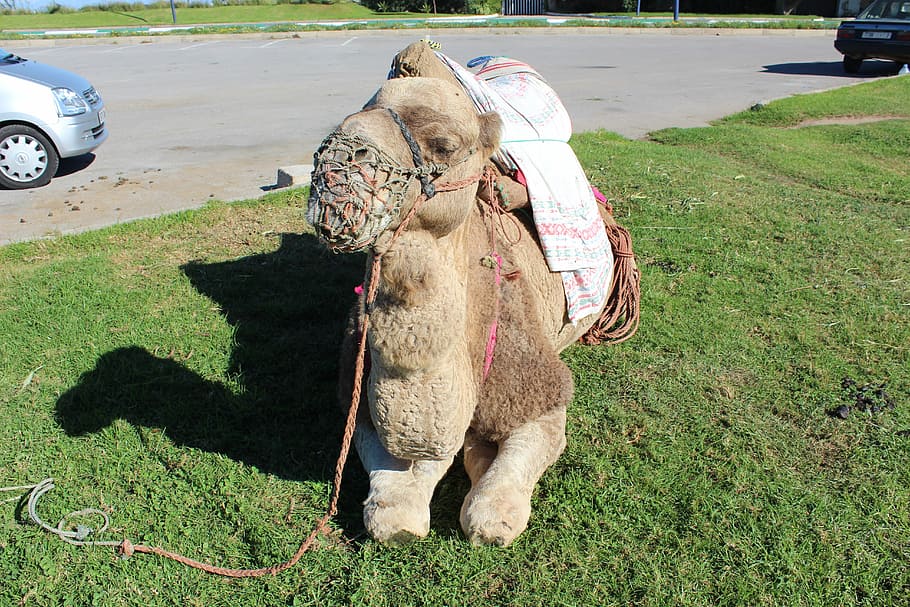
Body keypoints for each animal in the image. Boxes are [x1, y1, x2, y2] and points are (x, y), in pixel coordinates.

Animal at [307, 43, 638, 546]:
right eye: (350, 116)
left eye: (444, 144)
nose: (334, 170)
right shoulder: (359, 402)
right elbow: (395, 511)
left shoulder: (539, 390)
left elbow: (492, 503)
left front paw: (489, 492)